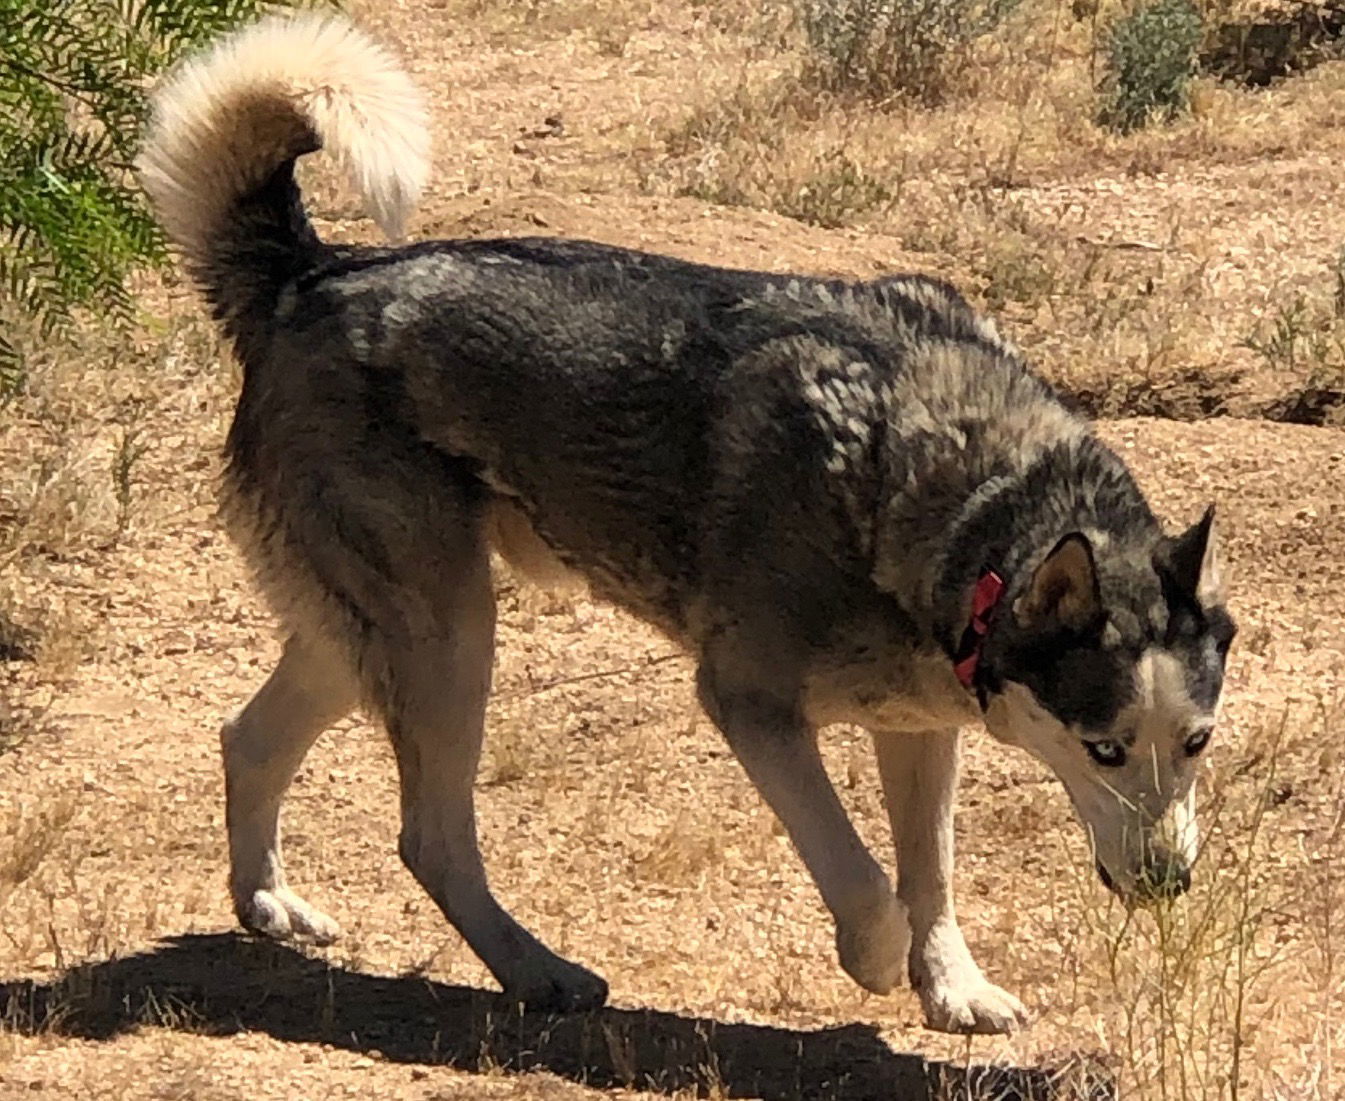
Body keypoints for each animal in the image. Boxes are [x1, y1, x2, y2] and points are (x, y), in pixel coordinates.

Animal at [133, 12, 1232, 1037]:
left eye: (1196, 743)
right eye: (1102, 750)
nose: (1170, 884)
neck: (942, 473)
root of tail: (309, 277)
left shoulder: (919, 725)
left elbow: (930, 874)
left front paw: (954, 987)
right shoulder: (749, 705)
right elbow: (867, 881)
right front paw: (877, 961)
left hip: (370, 634)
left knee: (248, 740)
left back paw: (270, 904)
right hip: (447, 638)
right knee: (430, 837)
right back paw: (538, 971)